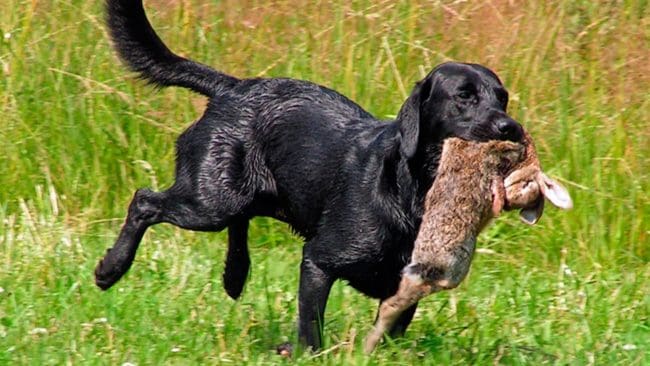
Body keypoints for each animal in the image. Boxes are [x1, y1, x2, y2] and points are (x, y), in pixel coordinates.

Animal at [95, 0, 520, 350]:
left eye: (502, 98)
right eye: (464, 96)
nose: (510, 128)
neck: (413, 193)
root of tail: (232, 87)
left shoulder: (409, 283)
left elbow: (391, 329)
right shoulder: (318, 260)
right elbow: (310, 328)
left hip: (237, 197)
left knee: (238, 222)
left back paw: (235, 275)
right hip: (209, 202)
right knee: (145, 201)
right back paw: (111, 269)